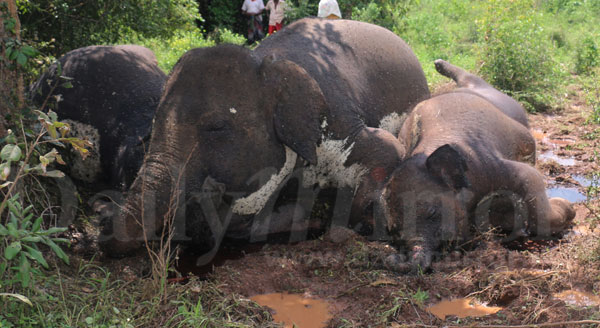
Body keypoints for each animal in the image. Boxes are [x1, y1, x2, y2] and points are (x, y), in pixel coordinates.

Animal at [101, 18, 434, 258]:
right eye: (153, 123)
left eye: (217, 127)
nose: (101, 226)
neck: (266, 64)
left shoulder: (339, 120)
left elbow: (388, 150)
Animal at [380, 60, 576, 272]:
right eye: (394, 232)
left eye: (432, 212)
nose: (393, 259)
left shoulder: (502, 167)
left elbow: (533, 185)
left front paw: (569, 208)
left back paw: (438, 63)